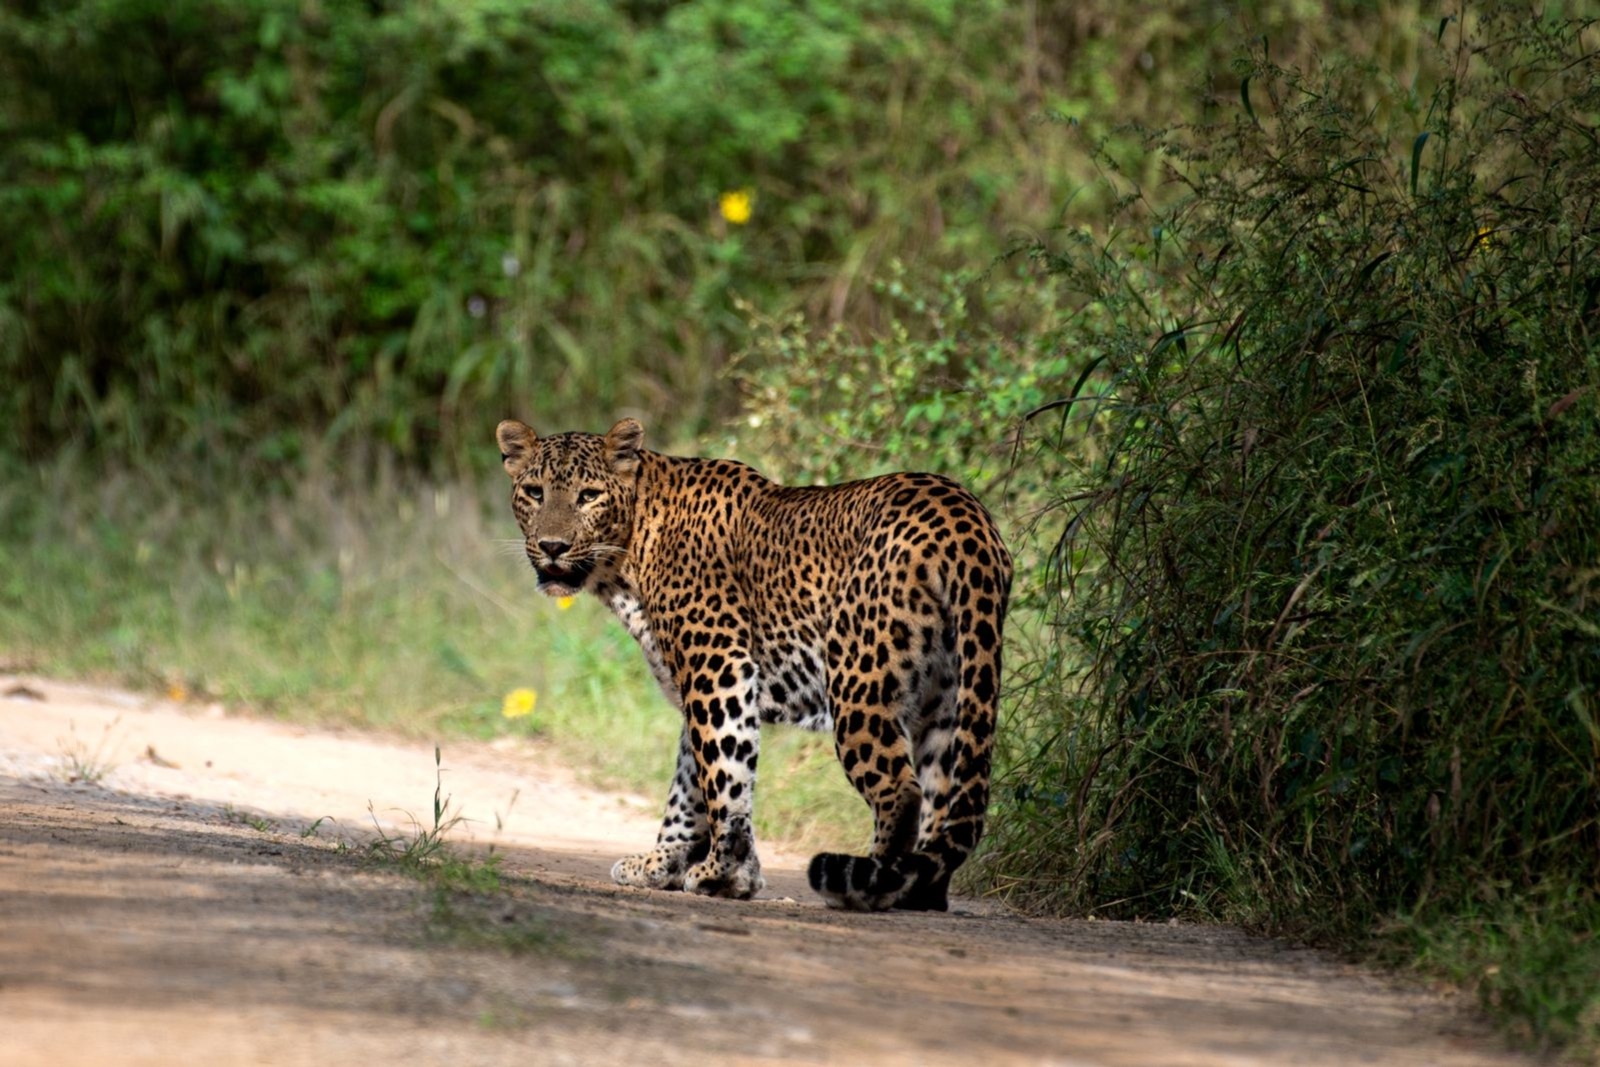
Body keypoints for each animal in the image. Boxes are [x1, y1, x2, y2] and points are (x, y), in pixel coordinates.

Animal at [496, 417, 1011, 911]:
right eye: (535, 492)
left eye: (589, 496)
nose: (553, 546)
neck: (628, 558)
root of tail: (964, 520)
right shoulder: (702, 683)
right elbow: (690, 783)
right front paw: (663, 864)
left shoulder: (718, 667)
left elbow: (722, 775)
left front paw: (723, 875)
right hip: (949, 698)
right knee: (944, 797)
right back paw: (922, 892)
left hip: (858, 684)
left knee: (901, 791)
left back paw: (873, 887)